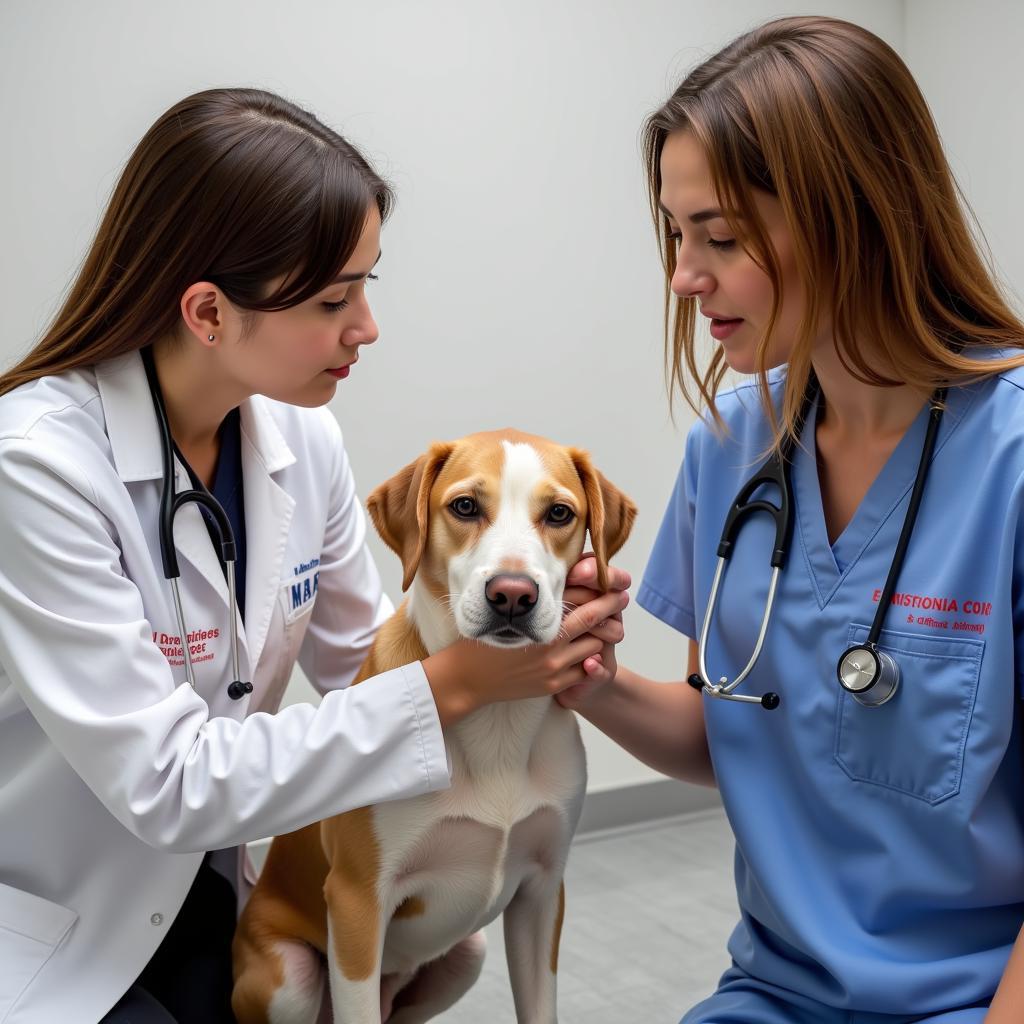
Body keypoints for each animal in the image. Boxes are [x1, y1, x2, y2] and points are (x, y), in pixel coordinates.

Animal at [232, 430, 634, 1024]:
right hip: (288, 977)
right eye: (465, 506)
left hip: (465, 956)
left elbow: (539, 1006)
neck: (498, 719)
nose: (512, 595)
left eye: (559, 513)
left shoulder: (542, 894)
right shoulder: (356, 902)